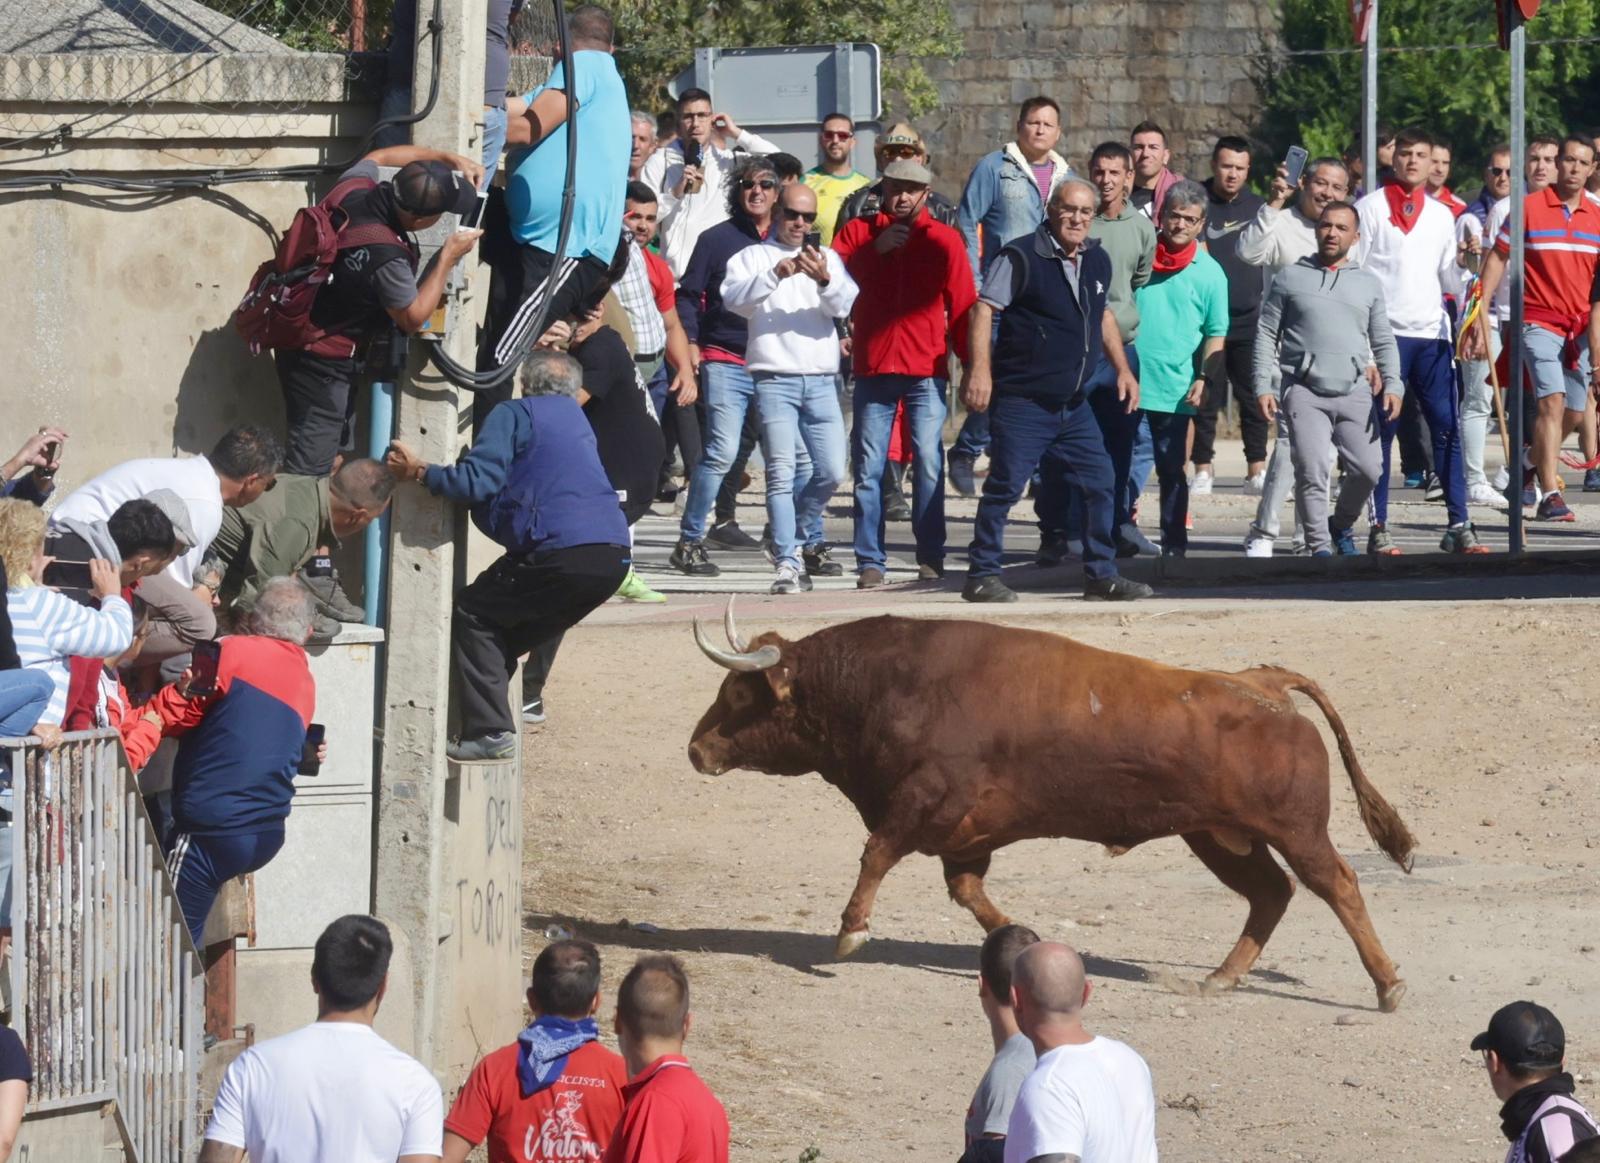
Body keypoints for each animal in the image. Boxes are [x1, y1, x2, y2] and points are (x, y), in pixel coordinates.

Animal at [684, 604, 1414, 1017]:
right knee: (1270, 892)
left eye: (740, 693)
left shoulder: (928, 799)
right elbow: (968, 890)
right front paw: (1022, 941)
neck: (888, 683)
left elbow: (877, 853)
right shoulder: (964, 834)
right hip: (1216, 835)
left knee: (1337, 883)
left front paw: (851, 930)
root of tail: (1262, 682)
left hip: (1294, 829)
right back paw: (1222, 977)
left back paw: (1386, 985)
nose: (696, 749)